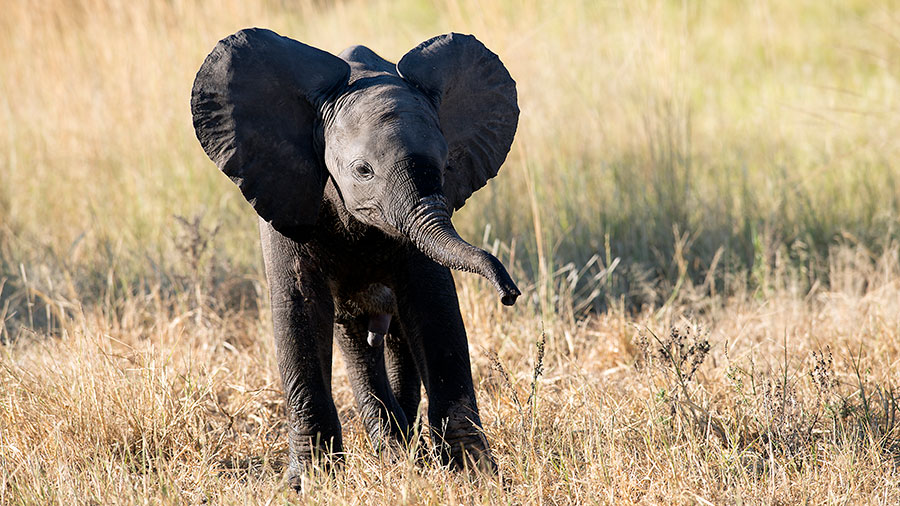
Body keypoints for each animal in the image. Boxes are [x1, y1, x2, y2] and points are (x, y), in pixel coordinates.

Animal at [193, 27, 524, 490]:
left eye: (445, 167)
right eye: (363, 171)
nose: (509, 294)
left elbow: (435, 306)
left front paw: (473, 475)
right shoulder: (283, 194)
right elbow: (298, 308)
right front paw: (309, 483)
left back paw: (406, 451)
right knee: (355, 339)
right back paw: (395, 450)